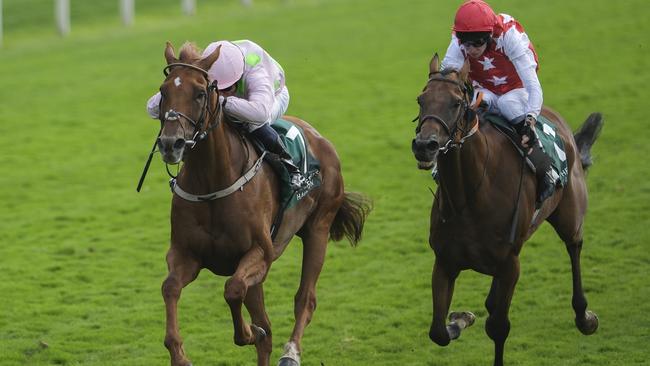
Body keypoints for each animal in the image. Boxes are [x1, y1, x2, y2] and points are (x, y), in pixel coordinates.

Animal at [153, 43, 372, 366]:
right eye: (163, 90)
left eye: (200, 93)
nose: (171, 144)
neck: (211, 184)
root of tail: (320, 137)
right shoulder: (186, 255)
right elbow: (170, 287)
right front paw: (179, 354)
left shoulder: (261, 253)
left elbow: (233, 290)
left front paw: (248, 332)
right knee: (265, 326)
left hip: (318, 228)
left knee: (305, 299)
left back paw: (290, 352)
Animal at [412, 54, 600, 366]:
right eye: (421, 99)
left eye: (456, 102)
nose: (424, 146)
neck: (470, 196)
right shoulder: (445, 261)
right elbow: (438, 331)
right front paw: (461, 318)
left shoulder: (511, 264)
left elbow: (498, 327)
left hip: (569, 214)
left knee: (574, 246)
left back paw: (585, 317)